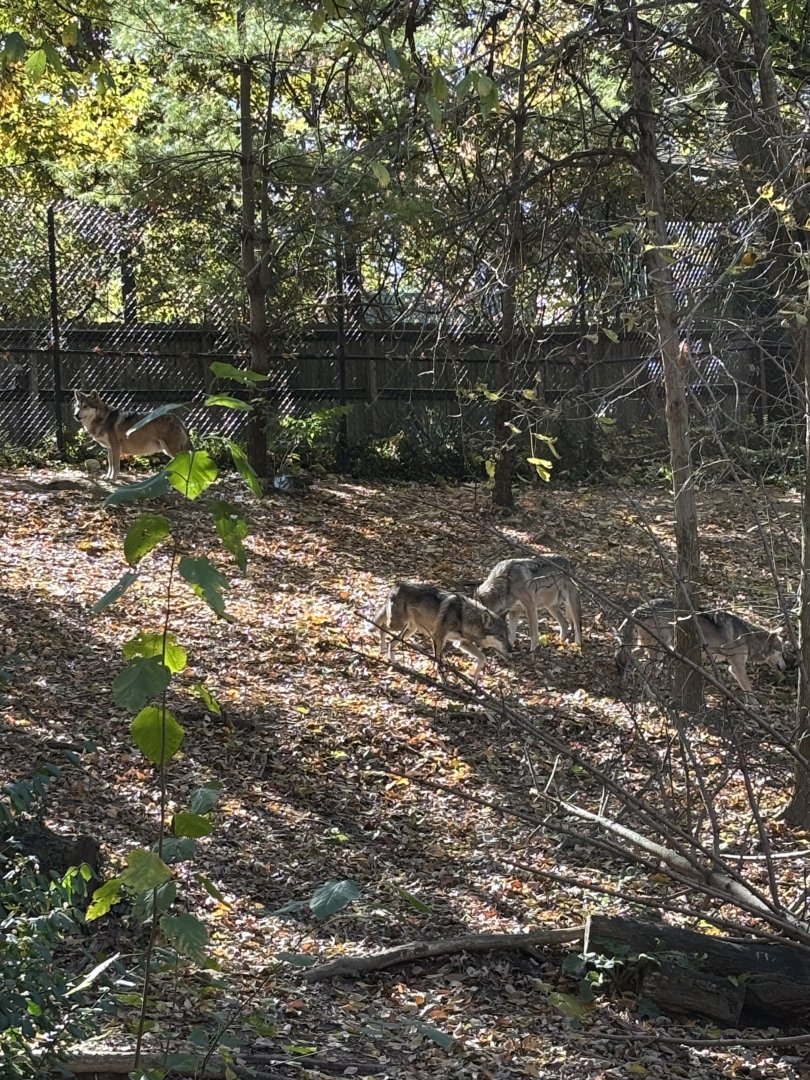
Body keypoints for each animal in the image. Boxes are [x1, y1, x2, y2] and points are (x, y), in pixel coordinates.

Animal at [375, 582, 512, 679]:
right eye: (501, 636)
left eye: (507, 635)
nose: (511, 649)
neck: (463, 616)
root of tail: (396, 586)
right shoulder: (438, 638)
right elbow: (439, 662)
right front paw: (442, 678)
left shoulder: (461, 643)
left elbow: (482, 658)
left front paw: (475, 679)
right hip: (396, 625)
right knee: (383, 628)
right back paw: (382, 649)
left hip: (409, 630)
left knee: (392, 641)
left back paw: (392, 660)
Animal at [615, 598, 787, 695]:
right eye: (782, 652)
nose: (786, 667)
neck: (749, 637)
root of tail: (639, 609)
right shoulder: (737, 667)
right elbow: (748, 688)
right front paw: (754, 707)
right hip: (659, 649)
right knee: (641, 668)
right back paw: (650, 694)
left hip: (657, 647)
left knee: (626, 653)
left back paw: (621, 673)